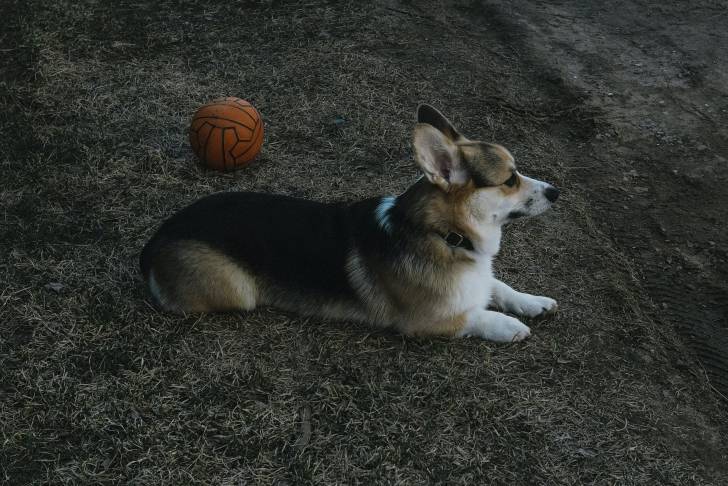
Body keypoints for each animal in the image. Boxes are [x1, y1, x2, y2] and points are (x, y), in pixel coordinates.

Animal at [139, 105, 560, 342]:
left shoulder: (480, 278)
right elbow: (478, 316)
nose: (556, 191)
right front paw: (509, 327)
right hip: (238, 291)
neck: (445, 235)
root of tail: (156, 240)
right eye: (510, 179)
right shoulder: (430, 320)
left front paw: (535, 303)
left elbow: (499, 286)